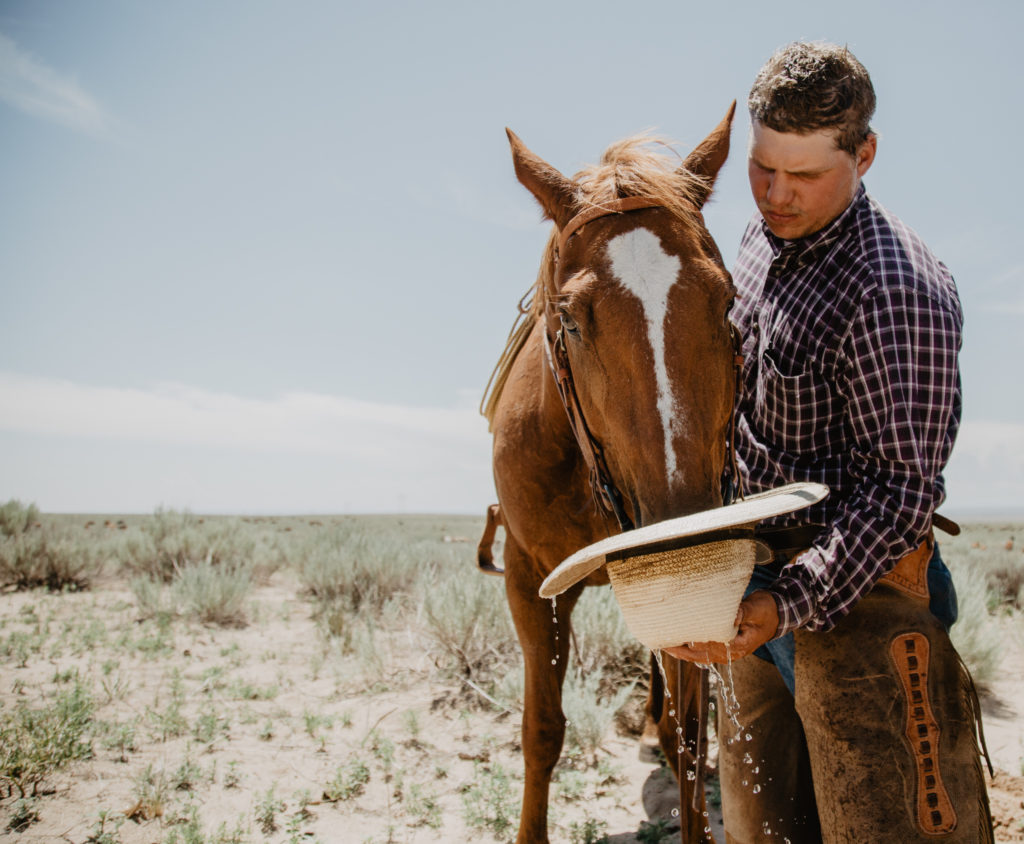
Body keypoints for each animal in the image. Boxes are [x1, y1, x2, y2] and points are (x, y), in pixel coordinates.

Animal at [483, 105, 741, 844]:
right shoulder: (526, 580)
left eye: (726, 303)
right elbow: (542, 730)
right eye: (569, 320)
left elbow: (693, 732)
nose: (686, 533)